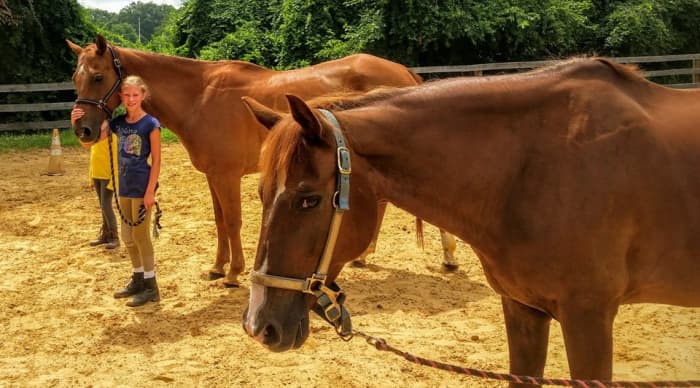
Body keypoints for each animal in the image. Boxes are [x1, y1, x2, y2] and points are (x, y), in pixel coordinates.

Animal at [65, 34, 460, 286]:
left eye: (98, 75)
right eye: (75, 76)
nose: (83, 129)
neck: (200, 96)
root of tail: (403, 71)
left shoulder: (226, 176)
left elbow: (234, 222)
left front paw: (233, 273)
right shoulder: (213, 176)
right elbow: (219, 221)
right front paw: (217, 267)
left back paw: (449, 257)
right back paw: (366, 256)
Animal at [242, 58, 700, 384]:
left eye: (309, 200)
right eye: (261, 194)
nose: (258, 325)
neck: (538, 166)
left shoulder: (589, 318)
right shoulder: (523, 310)